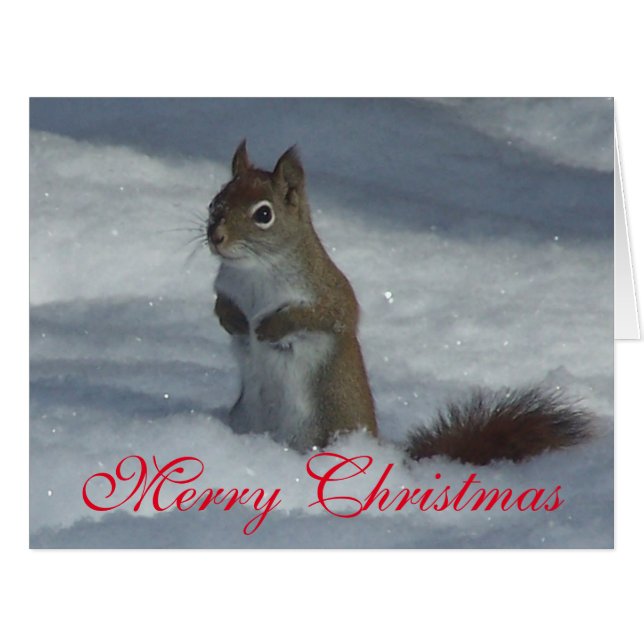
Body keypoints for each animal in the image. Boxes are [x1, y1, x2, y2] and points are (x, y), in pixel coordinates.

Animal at [206, 141, 591, 464]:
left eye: (264, 215)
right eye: (214, 202)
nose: (216, 237)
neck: (255, 272)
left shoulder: (330, 292)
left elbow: (326, 316)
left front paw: (270, 327)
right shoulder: (225, 285)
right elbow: (220, 304)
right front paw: (234, 319)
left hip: (311, 429)